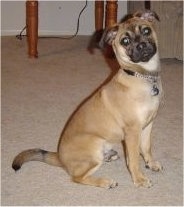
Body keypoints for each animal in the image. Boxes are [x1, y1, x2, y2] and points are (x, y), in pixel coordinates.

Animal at [12, 10, 162, 189]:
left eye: (146, 30)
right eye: (125, 41)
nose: (141, 46)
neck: (142, 76)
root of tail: (60, 157)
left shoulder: (148, 125)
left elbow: (146, 148)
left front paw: (151, 164)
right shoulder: (132, 131)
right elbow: (132, 160)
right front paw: (139, 179)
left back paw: (110, 156)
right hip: (94, 146)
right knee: (77, 177)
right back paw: (105, 181)